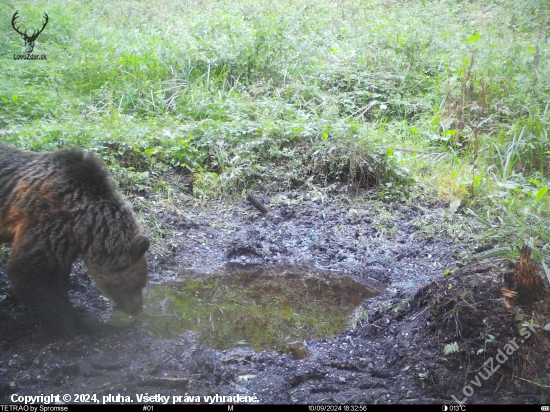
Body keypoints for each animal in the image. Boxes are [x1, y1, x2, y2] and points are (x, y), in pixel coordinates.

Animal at [0, 143, 150, 334]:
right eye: (138, 284)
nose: (137, 309)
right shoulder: (47, 221)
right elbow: (32, 272)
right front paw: (73, 322)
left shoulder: (65, 239)